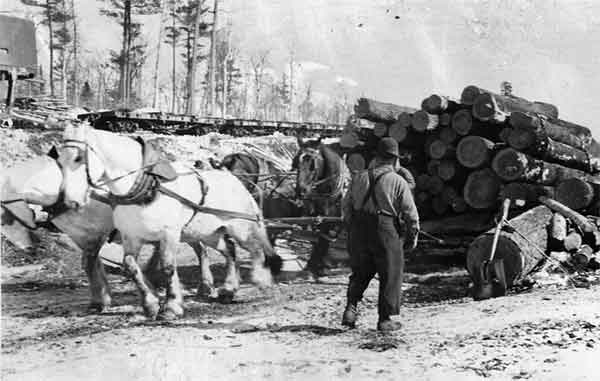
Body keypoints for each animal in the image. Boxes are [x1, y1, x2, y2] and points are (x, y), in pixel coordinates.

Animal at [56, 123, 282, 320]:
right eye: (59, 160)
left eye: (78, 158)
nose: (71, 200)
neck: (147, 187)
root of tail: (235, 180)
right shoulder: (131, 236)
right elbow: (130, 267)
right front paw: (151, 304)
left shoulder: (169, 234)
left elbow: (167, 267)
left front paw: (171, 307)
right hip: (209, 233)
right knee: (230, 251)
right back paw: (228, 289)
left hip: (239, 227)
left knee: (255, 249)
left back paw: (262, 280)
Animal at [292, 137, 350, 276]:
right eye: (296, 163)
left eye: (313, 165)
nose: (301, 191)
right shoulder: (317, 217)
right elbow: (319, 239)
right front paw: (316, 264)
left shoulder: (330, 220)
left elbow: (322, 240)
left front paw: (315, 265)